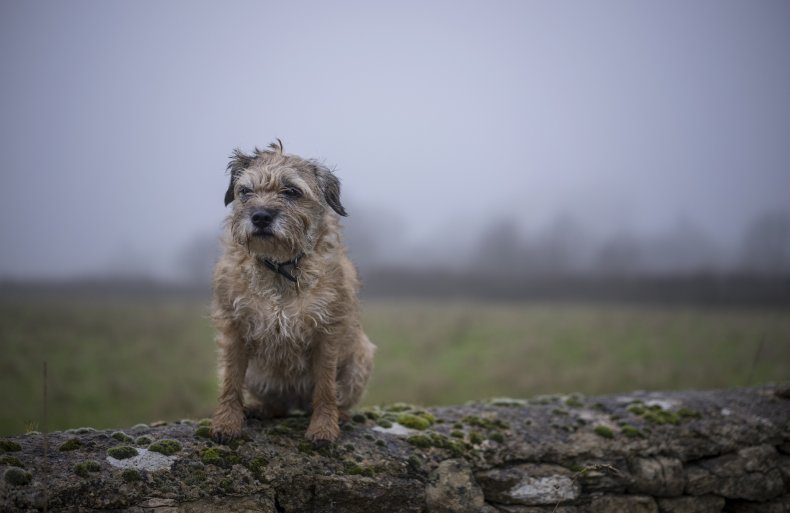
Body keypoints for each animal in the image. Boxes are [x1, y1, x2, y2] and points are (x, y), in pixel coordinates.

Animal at [210, 140, 378, 444]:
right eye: (245, 191)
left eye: (291, 191)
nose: (260, 216)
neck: (280, 267)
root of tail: (297, 401)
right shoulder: (233, 327)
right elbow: (230, 381)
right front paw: (227, 423)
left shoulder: (327, 332)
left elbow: (325, 387)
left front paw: (324, 428)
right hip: (258, 376)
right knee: (278, 405)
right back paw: (260, 408)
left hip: (361, 357)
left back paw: (341, 415)